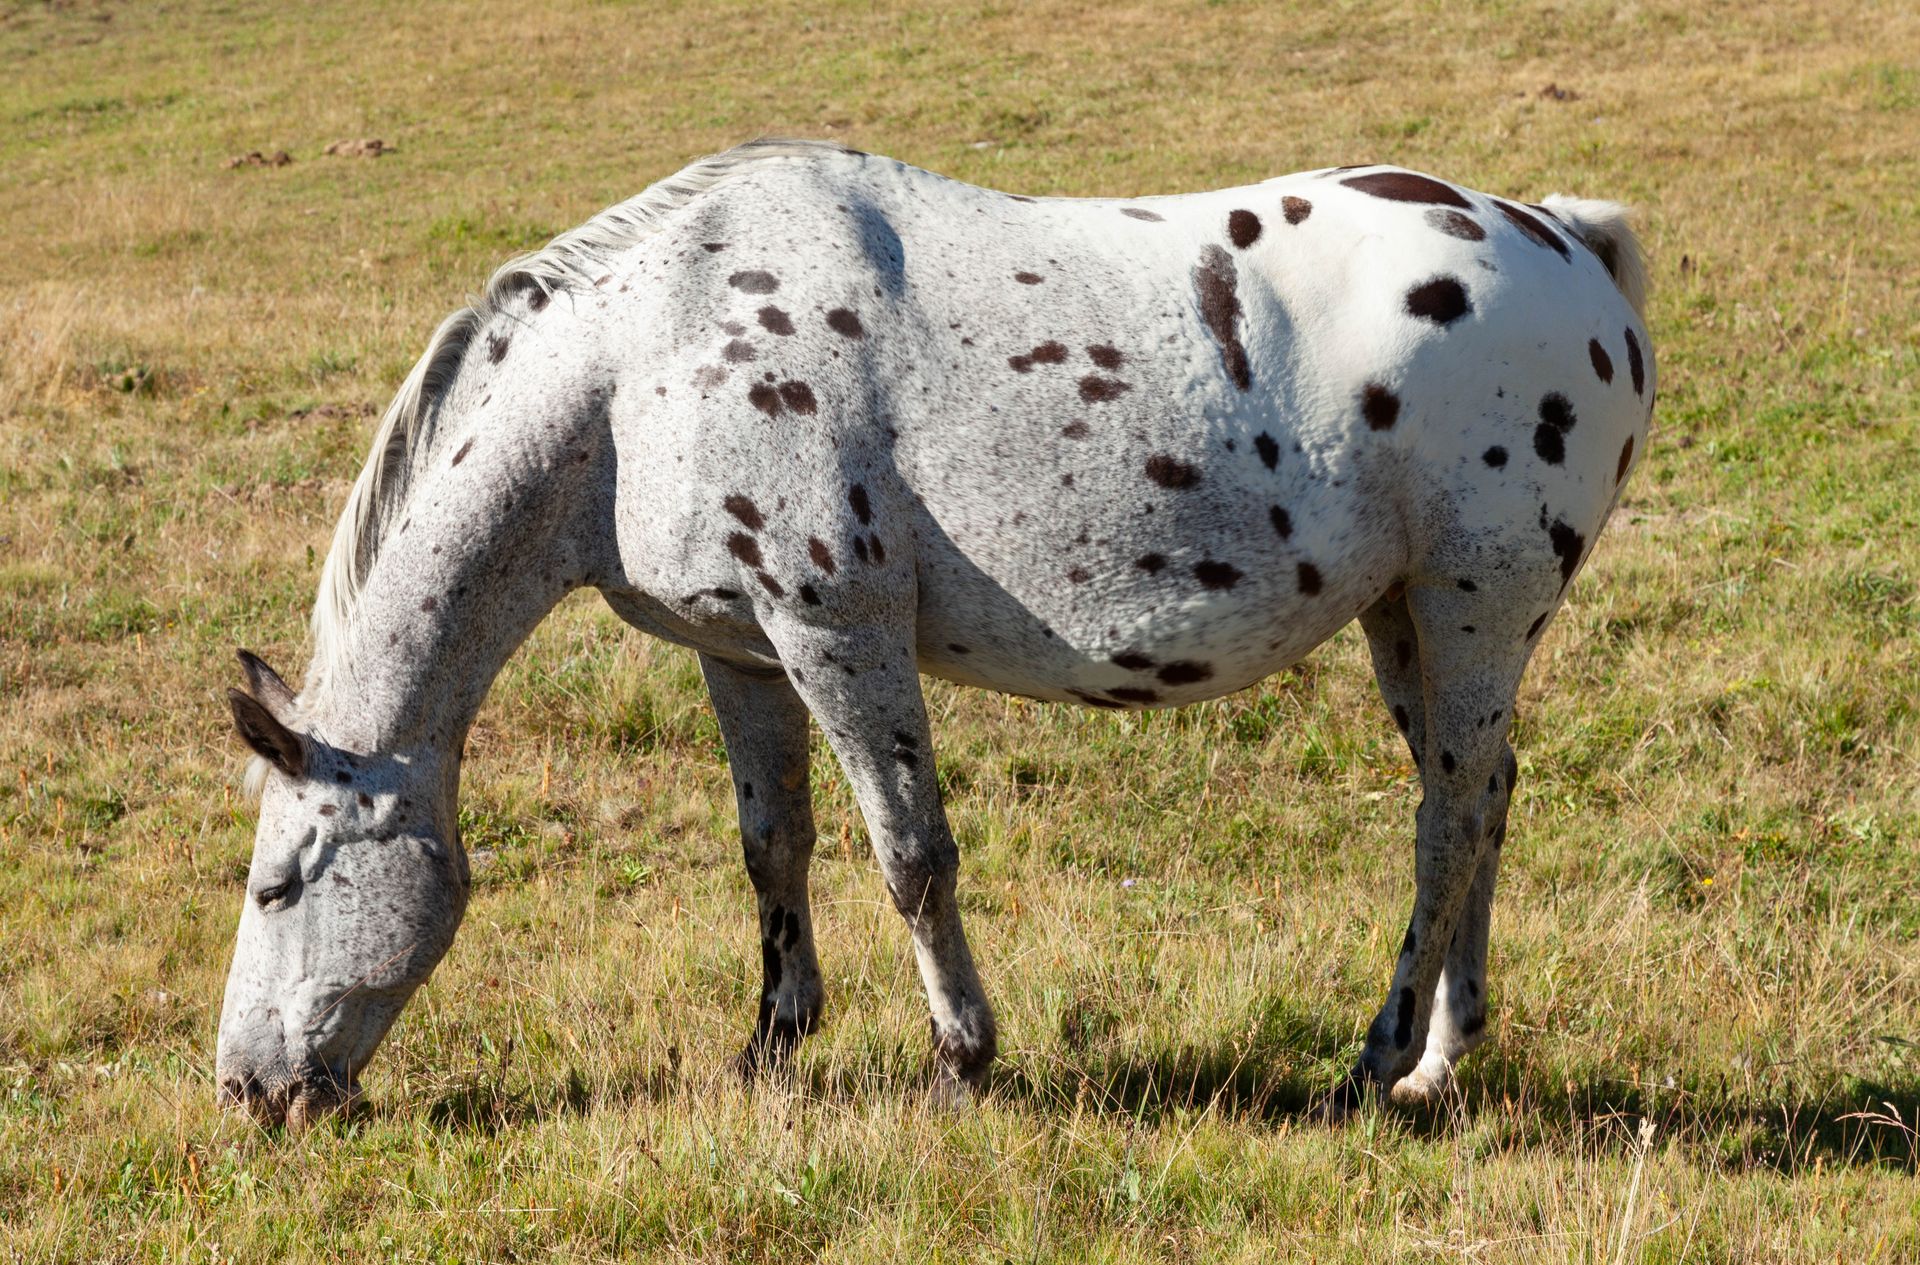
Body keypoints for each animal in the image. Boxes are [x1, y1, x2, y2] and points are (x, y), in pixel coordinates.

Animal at [215, 139, 1653, 1129]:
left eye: (279, 883)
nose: (248, 1090)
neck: (641, 366)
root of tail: (1569, 242)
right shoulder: (742, 651)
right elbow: (774, 844)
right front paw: (773, 1042)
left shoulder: (837, 633)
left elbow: (910, 854)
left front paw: (964, 1055)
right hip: (1408, 618)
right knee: (1483, 802)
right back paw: (1444, 1057)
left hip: (1474, 606)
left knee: (1448, 822)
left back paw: (1384, 1058)